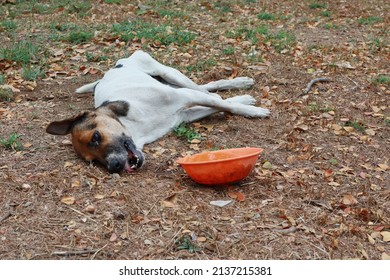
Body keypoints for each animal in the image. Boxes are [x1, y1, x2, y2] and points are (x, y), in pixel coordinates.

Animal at [45, 50, 270, 173]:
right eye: (93, 161)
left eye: (96, 137)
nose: (114, 166)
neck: (135, 127)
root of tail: (114, 67)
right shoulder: (184, 115)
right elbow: (216, 105)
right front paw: (243, 104)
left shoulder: (184, 97)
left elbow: (224, 104)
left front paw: (253, 111)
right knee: (207, 89)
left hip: (168, 73)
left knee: (203, 88)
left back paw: (240, 87)